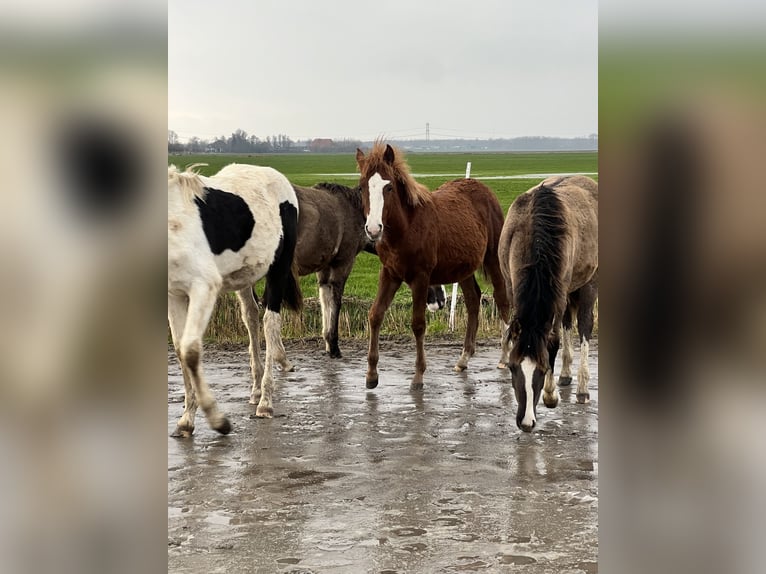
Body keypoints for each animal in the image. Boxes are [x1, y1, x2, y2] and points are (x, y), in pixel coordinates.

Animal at [168, 164, 304, 438]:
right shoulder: (174, 293)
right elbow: (179, 350)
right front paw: (186, 420)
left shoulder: (203, 287)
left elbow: (190, 350)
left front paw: (218, 420)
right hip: (244, 278)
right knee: (251, 317)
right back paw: (257, 390)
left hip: (279, 268)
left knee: (270, 322)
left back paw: (266, 402)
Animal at [356, 142, 512, 392]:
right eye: (361, 188)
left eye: (388, 187)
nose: (373, 229)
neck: (406, 228)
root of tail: (483, 189)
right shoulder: (389, 273)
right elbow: (375, 315)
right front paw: (371, 375)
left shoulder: (421, 278)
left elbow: (418, 324)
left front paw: (418, 376)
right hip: (463, 267)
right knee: (473, 299)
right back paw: (463, 358)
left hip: (493, 259)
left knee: (501, 298)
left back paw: (504, 357)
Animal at [500, 176, 604, 432]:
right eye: (513, 367)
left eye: (543, 368)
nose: (526, 422)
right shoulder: (510, 286)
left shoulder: (559, 292)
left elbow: (553, 341)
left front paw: (550, 395)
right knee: (567, 323)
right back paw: (565, 375)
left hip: (587, 285)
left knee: (584, 326)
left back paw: (582, 389)